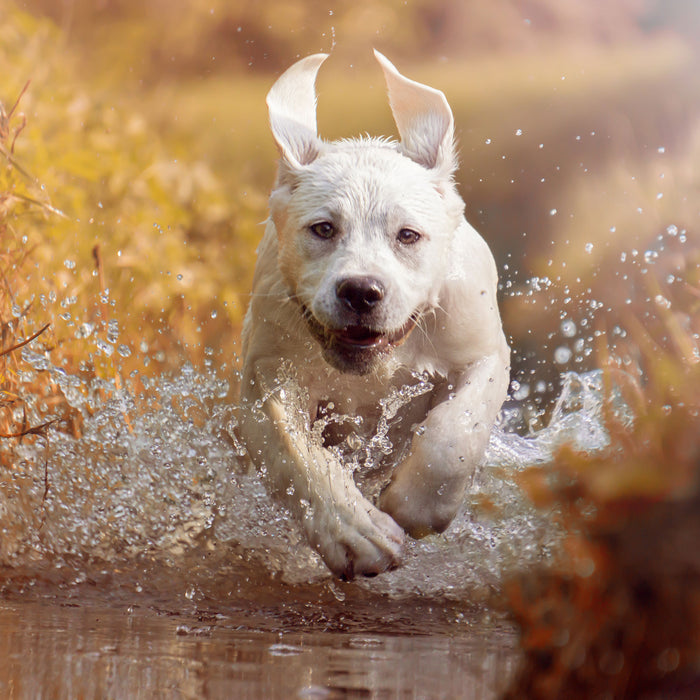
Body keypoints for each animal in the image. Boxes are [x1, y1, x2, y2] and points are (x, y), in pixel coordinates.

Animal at [239, 50, 508, 580]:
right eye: (323, 229)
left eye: (408, 235)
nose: (361, 292)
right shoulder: (267, 375)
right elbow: (296, 452)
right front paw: (355, 533)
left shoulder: (482, 352)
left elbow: (455, 434)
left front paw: (414, 506)